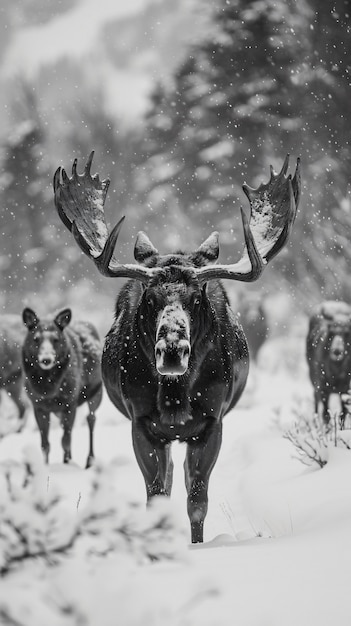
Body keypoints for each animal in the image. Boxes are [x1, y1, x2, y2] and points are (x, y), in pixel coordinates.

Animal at [22, 304, 103, 466]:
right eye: (36, 339)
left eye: (55, 339)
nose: (46, 359)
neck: (48, 389)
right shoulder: (38, 405)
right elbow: (45, 444)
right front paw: (46, 466)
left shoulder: (70, 403)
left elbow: (65, 441)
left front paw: (67, 464)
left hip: (96, 393)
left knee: (91, 419)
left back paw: (89, 459)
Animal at [53, 152, 302, 540]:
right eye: (150, 298)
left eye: (197, 298)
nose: (172, 349)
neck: (176, 396)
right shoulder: (141, 423)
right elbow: (156, 494)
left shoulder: (211, 423)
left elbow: (197, 499)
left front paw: (196, 543)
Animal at [306, 298, 351, 426]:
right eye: (332, 332)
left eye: (347, 333)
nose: (337, 351)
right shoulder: (323, 388)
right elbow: (325, 414)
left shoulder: (345, 389)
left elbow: (343, 413)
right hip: (313, 379)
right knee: (315, 399)